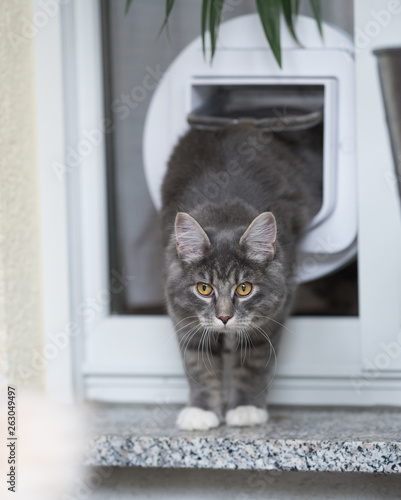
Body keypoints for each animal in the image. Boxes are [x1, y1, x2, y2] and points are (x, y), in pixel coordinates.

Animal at [161, 124, 320, 430]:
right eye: (204, 288)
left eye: (244, 288)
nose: (224, 317)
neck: (224, 211)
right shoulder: (185, 320)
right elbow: (199, 364)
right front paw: (201, 411)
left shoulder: (269, 320)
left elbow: (252, 364)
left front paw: (246, 408)